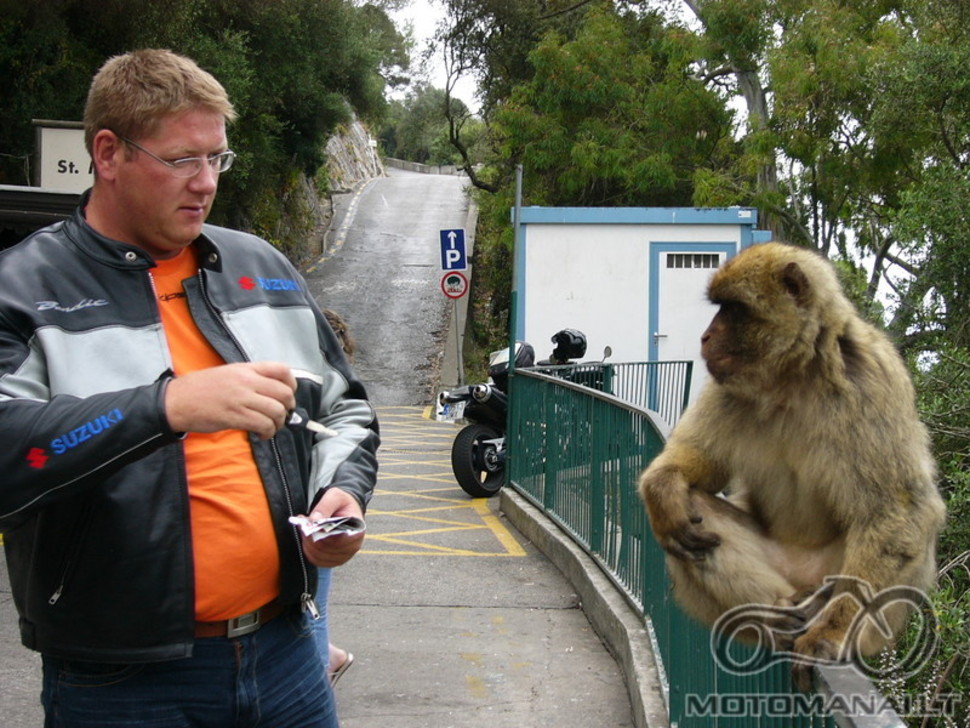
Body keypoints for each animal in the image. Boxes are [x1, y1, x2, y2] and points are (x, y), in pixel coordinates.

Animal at [636, 242, 944, 692]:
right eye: (720, 308)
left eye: (733, 309)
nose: (705, 336)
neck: (793, 377)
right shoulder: (727, 386)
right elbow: (702, 467)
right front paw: (662, 488)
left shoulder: (870, 380)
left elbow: (897, 509)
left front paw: (829, 636)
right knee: (691, 516)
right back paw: (778, 611)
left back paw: (822, 613)